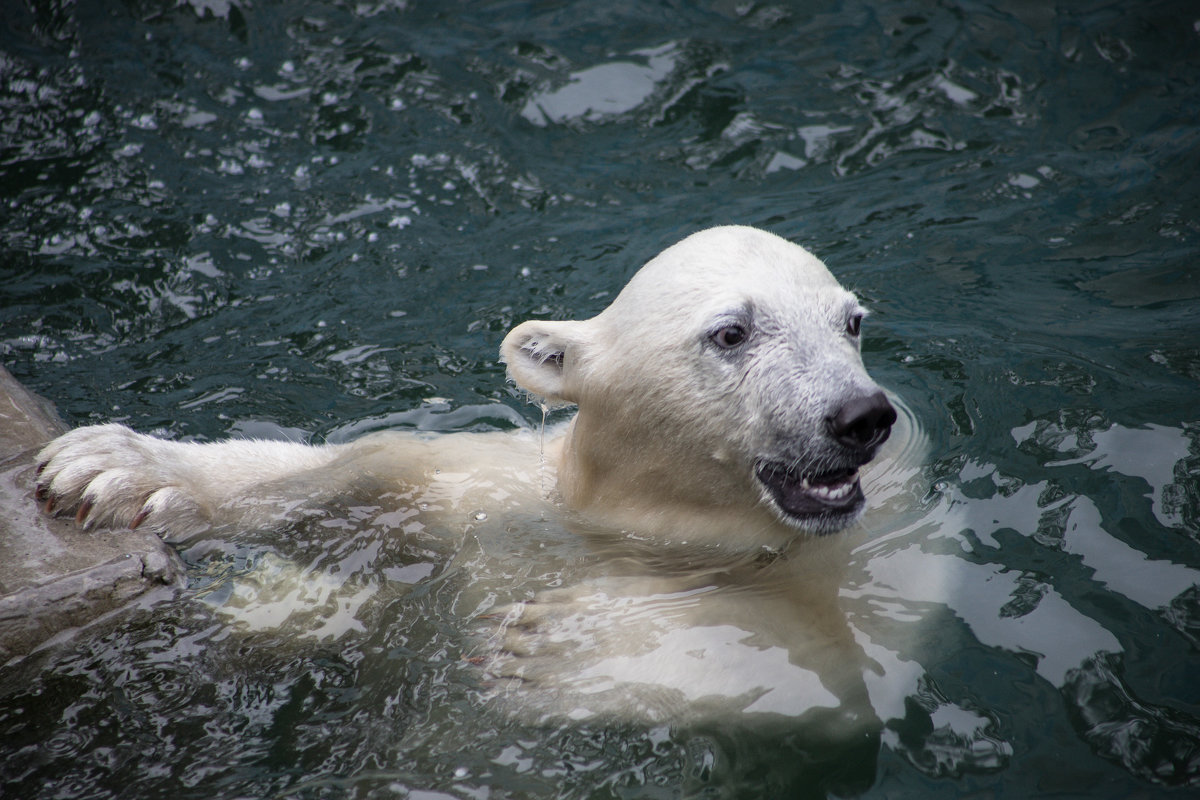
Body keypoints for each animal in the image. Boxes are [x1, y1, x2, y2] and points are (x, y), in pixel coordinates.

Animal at [32, 225, 902, 734]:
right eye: (731, 332)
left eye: (851, 323)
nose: (860, 415)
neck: (645, 525)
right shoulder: (480, 491)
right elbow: (350, 471)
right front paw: (111, 467)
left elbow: (822, 672)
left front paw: (564, 648)